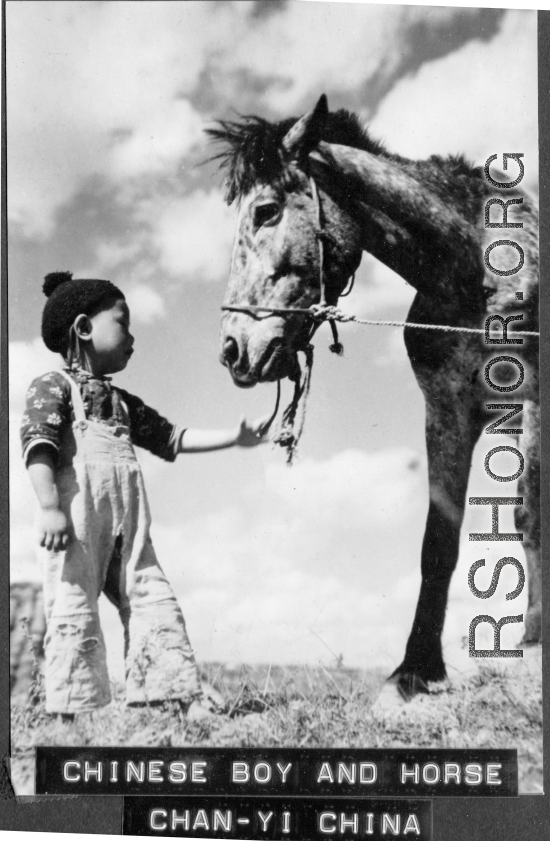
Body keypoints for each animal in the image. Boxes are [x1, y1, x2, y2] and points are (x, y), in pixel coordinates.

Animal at [209, 92, 540, 700]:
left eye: (265, 211)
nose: (232, 350)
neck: (472, 269)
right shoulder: (447, 409)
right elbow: (438, 541)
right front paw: (415, 671)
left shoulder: (532, 398)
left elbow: (529, 515)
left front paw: (530, 649)